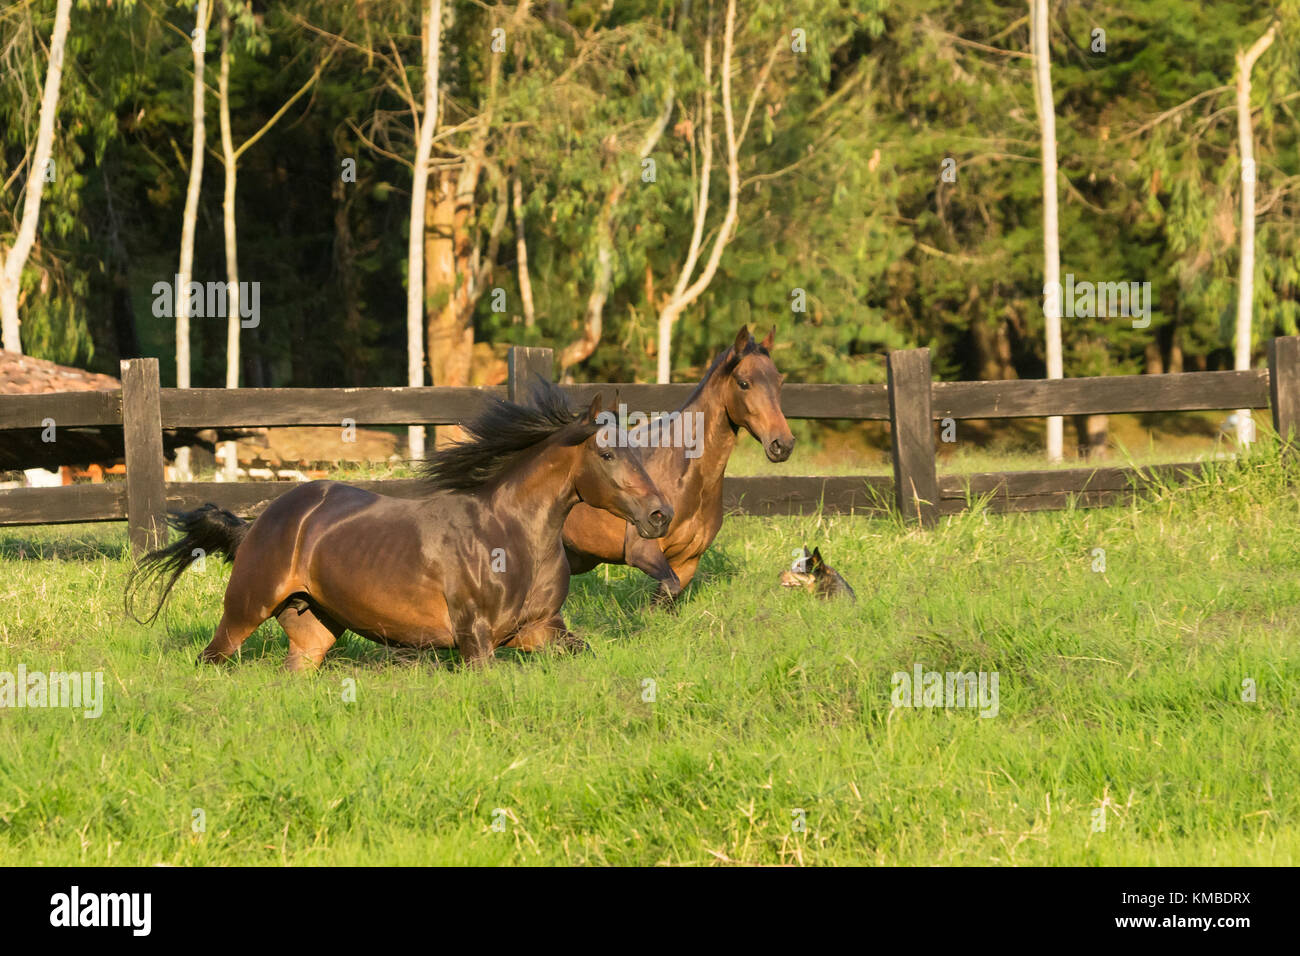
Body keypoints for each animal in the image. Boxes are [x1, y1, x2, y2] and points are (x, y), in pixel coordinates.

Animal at [126, 381, 673, 668]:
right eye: (607, 454)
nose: (660, 514)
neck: (511, 538)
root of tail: (262, 521)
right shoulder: (475, 641)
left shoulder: (543, 629)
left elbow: (585, 650)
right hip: (243, 611)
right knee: (212, 656)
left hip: (312, 632)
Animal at [562, 325, 795, 602]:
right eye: (744, 383)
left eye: (780, 382)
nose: (782, 444)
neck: (682, 475)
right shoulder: (645, 552)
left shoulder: (687, 562)